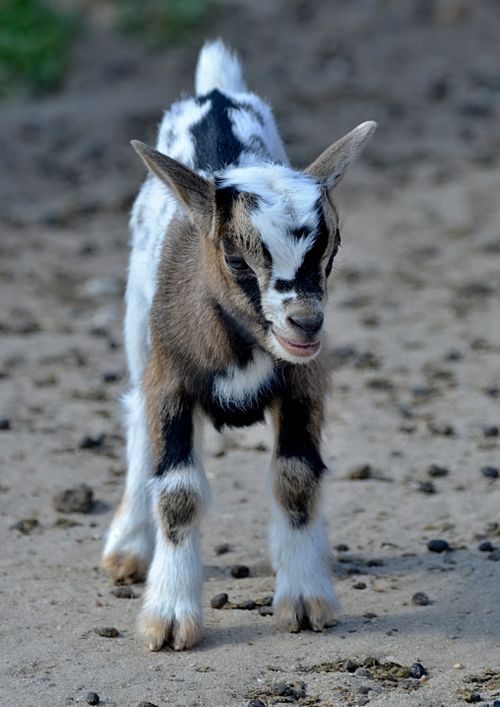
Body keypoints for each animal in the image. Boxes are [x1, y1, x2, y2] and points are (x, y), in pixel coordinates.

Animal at [102, 39, 376, 651]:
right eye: (234, 255)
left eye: (333, 246)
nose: (305, 323)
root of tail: (216, 93)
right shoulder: (170, 381)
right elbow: (178, 492)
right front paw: (169, 617)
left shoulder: (304, 383)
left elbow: (296, 479)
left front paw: (305, 597)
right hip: (136, 327)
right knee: (135, 424)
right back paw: (128, 546)